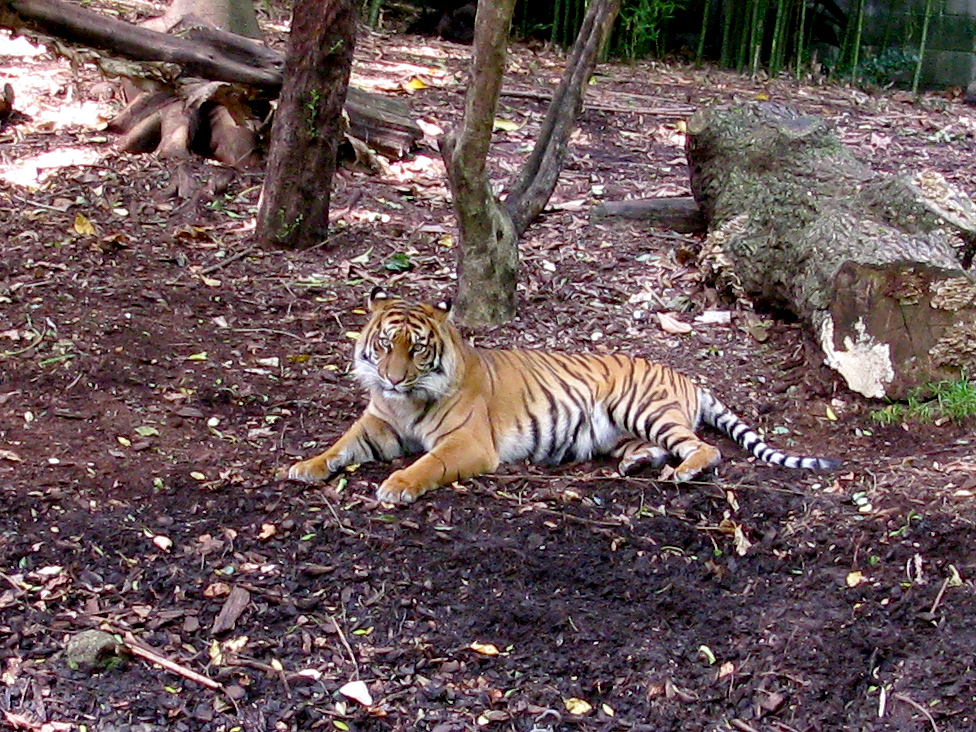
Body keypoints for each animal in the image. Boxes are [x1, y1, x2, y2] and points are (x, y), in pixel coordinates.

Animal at [287, 289, 840, 504]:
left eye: (417, 349)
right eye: (384, 345)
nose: (393, 378)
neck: (404, 404)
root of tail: (686, 376)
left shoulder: (467, 444)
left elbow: (427, 464)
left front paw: (397, 486)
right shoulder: (375, 425)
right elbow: (339, 446)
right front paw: (304, 467)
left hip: (642, 407)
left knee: (704, 448)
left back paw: (684, 472)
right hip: (621, 429)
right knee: (658, 448)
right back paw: (636, 464)